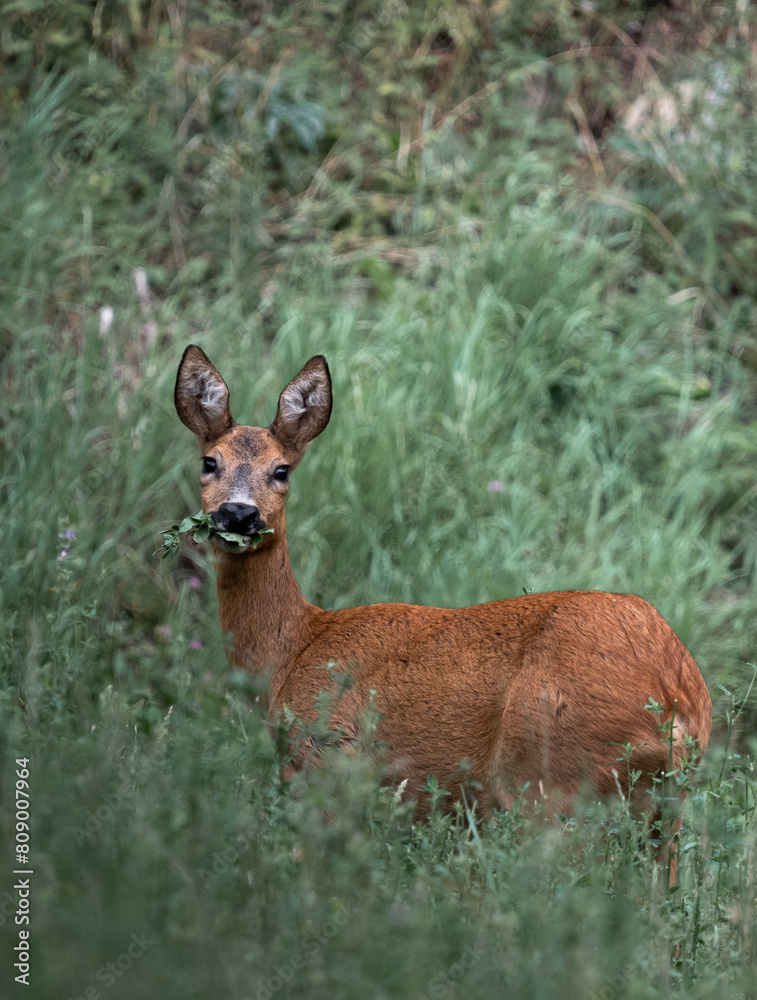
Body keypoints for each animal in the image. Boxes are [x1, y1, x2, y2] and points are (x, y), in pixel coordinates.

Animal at [176, 348, 708, 832]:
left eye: (281, 470)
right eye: (209, 462)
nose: (238, 513)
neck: (292, 652)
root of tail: (677, 694)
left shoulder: (327, 762)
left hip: (550, 775)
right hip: (660, 807)